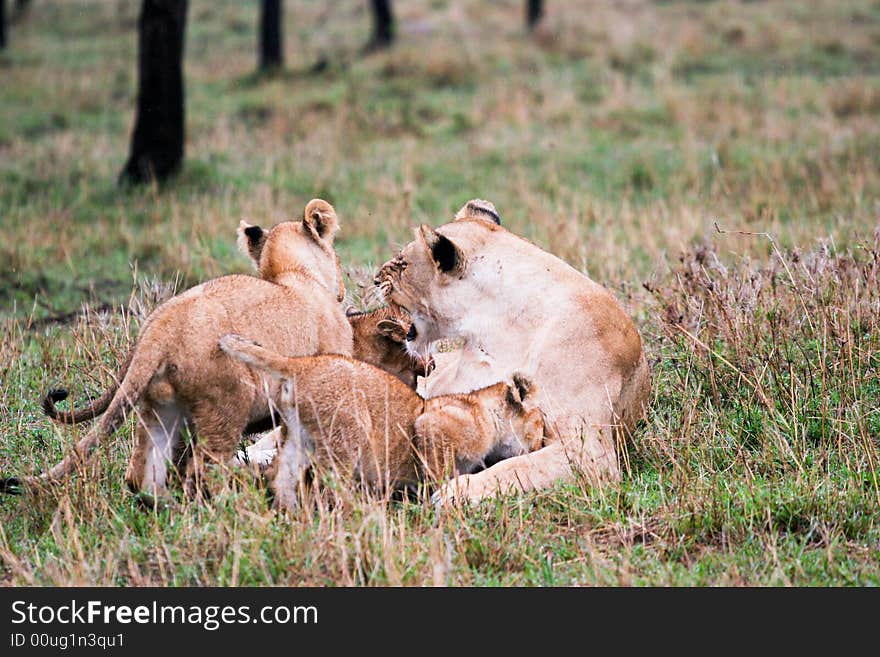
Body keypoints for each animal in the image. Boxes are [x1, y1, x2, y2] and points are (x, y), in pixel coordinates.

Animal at [374, 199, 648, 502]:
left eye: (403, 263)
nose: (375, 279)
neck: (498, 327)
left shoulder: (590, 455)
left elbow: (519, 468)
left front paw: (456, 493)